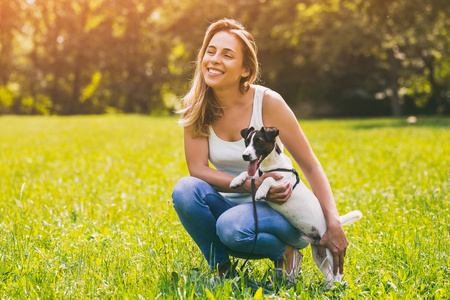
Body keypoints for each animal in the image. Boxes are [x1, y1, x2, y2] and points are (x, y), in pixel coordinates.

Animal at [229, 126, 362, 286]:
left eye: (259, 141)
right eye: (246, 141)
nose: (245, 156)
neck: (271, 167)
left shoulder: (283, 184)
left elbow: (268, 180)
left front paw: (260, 191)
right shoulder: (257, 176)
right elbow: (248, 174)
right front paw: (236, 180)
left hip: (331, 252)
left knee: (337, 274)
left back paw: (337, 287)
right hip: (318, 254)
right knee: (328, 273)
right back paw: (328, 288)